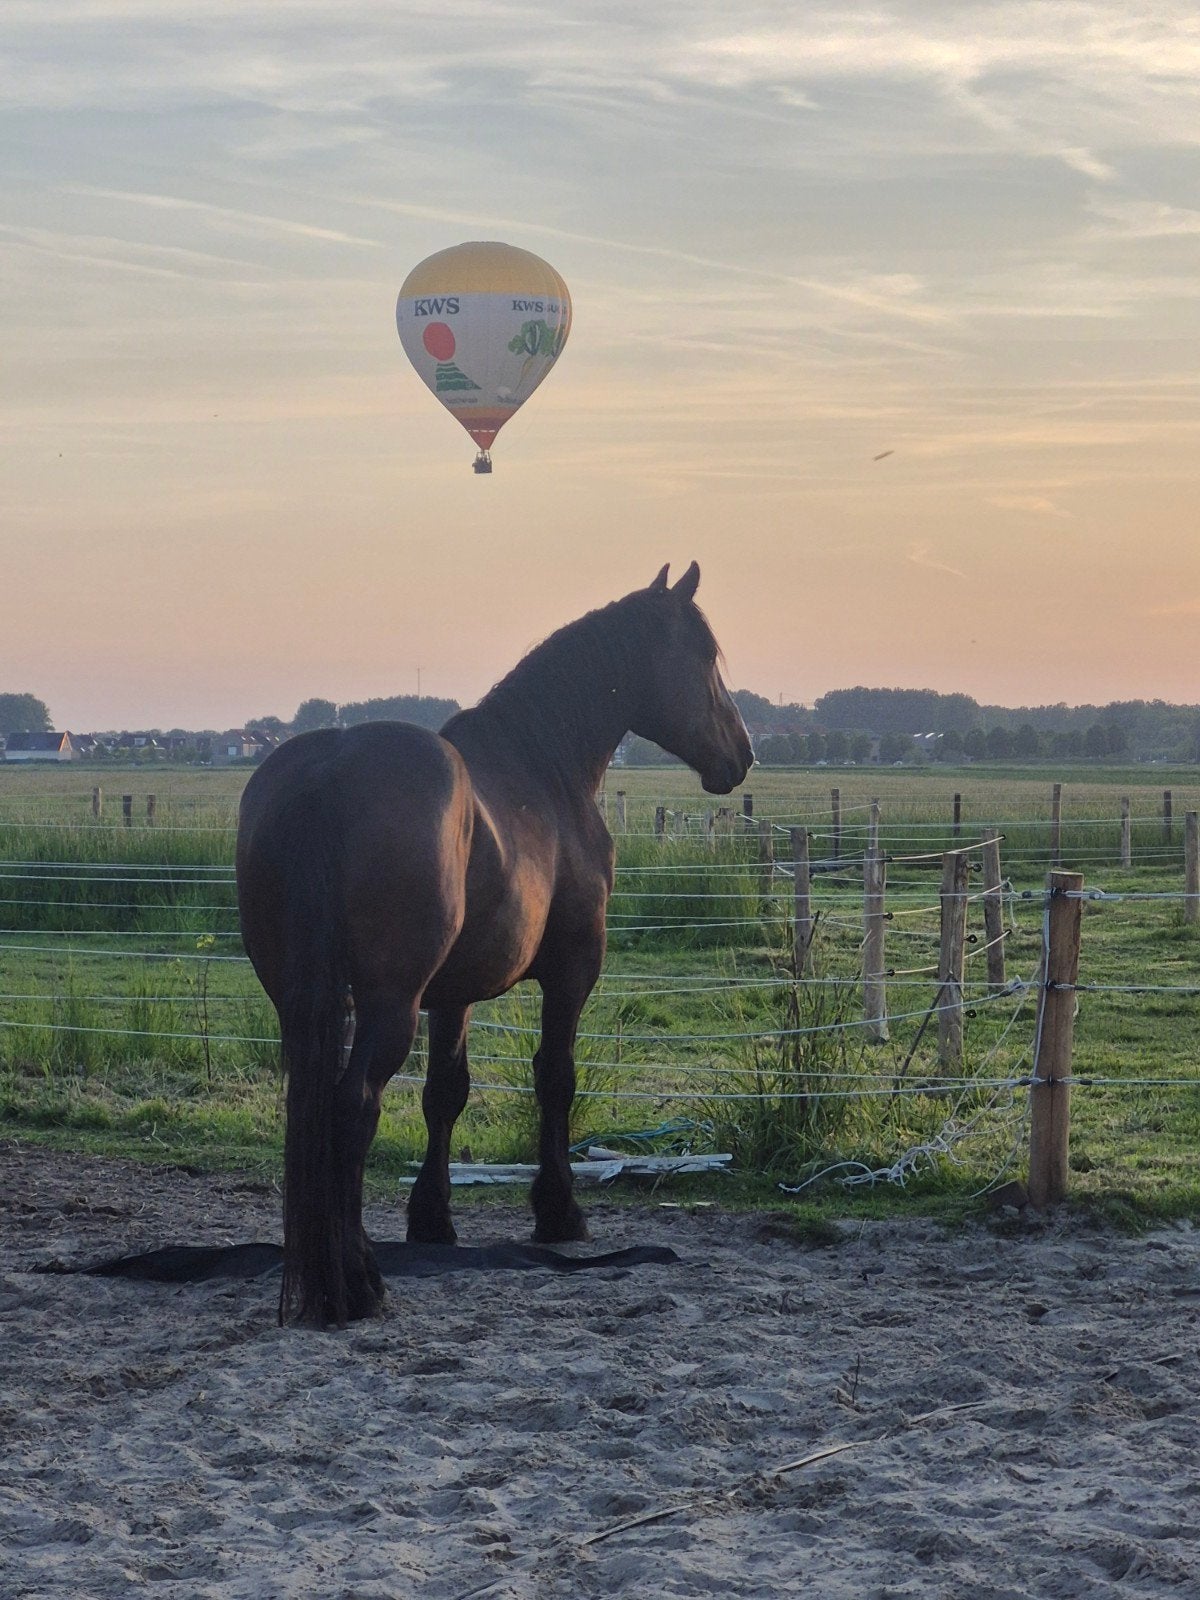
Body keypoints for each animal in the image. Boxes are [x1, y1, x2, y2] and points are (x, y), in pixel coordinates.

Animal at [235, 563, 752, 1327]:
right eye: (706, 656)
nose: (742, 754)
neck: (543, 769)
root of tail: (327, 771)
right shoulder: (573, 970)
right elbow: (555, 1078)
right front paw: (559, 1212)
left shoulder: (453, 994)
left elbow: (445, 1094)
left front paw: (432, 1220)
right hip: (388, 1004)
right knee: (353, 1106)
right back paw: (357, 1284)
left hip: (301, 1000)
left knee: (319, 1110)